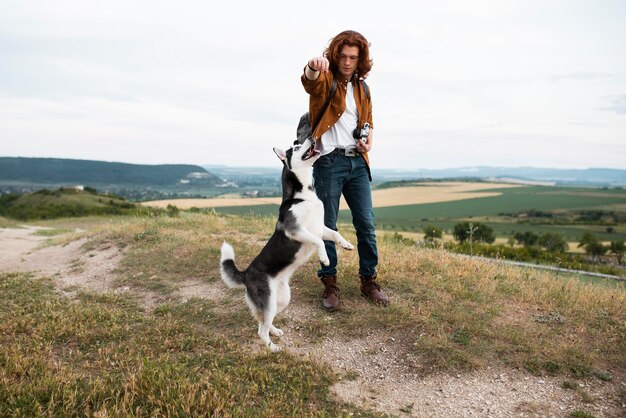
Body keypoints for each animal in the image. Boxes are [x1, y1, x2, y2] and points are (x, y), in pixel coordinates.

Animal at [221, 139, 354, 352]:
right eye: (297, 147)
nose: (312, 138)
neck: (303, 195)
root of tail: (246, 274)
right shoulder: (296, 230)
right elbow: (318, 242)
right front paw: (324, 258)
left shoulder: (319, 228)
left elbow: (334, 233)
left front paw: (347, 244)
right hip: (268, 301)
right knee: (261, 330)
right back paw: (272, 347)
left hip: (281, 300)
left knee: (262, 322)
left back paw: (274, 331)